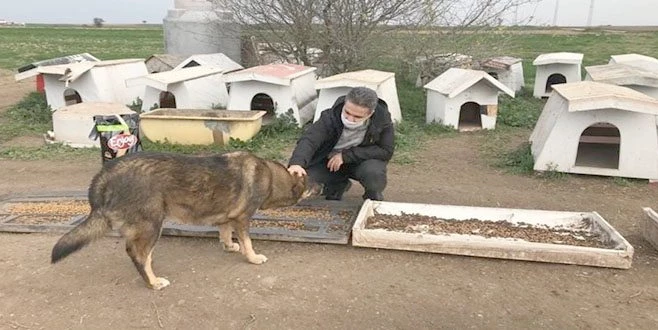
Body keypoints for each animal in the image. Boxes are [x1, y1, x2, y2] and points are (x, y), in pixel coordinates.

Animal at [50, 151, 318, 290]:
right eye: (309, 182)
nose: (323, 184)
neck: (270, 176)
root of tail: (106, 174)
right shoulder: (243, 219)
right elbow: (248, 243)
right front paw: (252, 257)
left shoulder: (227, 217)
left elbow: (225, 233)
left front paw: (229, 246)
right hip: (153, 224)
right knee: (137, 254)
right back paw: (153, 281)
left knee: (141, 252)